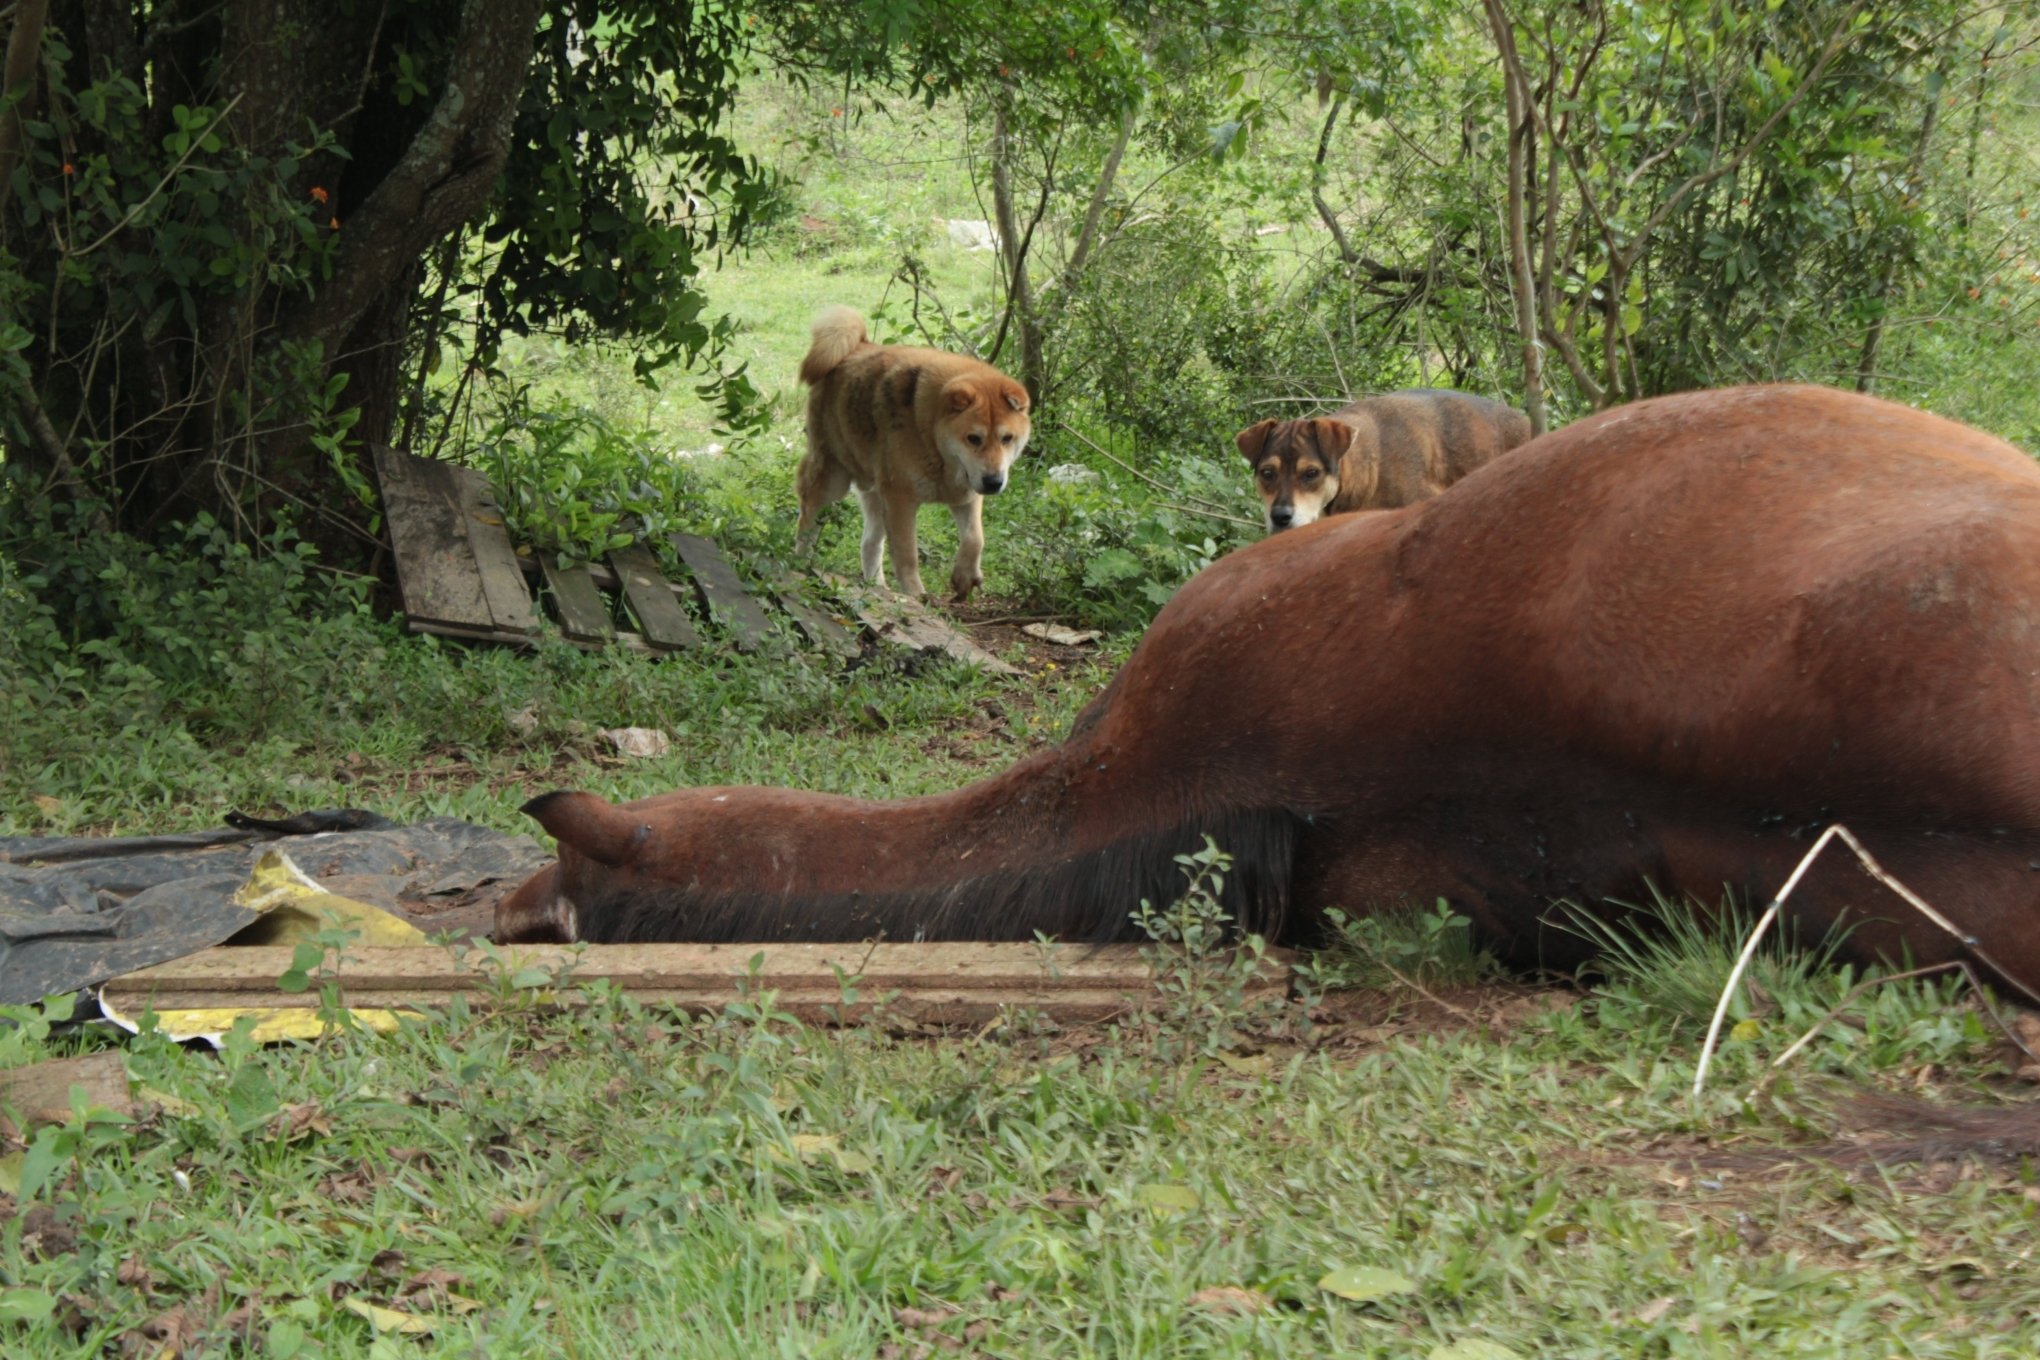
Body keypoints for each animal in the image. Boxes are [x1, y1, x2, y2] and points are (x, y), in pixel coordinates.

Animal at [791, 314, 1028, 607]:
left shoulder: (966, 496)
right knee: (807, 520)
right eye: (974, 438)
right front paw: (915, 594)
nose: (994, 482)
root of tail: (858, 345)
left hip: (876, 496)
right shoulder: (901, 499)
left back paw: (876, 587)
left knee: (870, 543)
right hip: (833, 480)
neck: (930, 435)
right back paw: (800, 561)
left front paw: (964, 578)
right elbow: (907, 554)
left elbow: (975, 539)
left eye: (1007, 438)